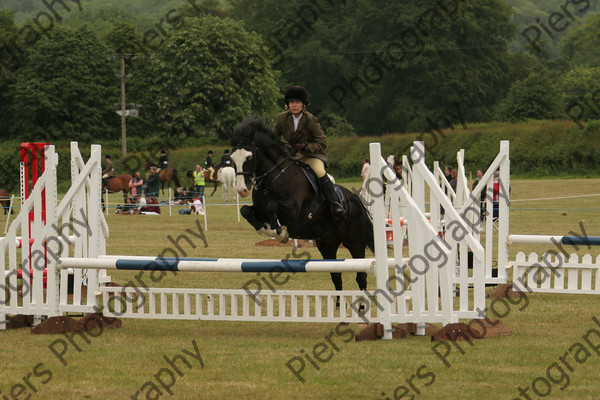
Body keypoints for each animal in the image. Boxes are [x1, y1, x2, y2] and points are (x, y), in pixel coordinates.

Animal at [231, 117, 376, 292]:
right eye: (232, 159)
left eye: (249, 157)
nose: (241, 190)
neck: (273, 177)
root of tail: (355, 198)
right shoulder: (260, 210)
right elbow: (246, 210)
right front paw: (266, 229)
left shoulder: (293, 211)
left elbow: (272, 206)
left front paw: (280, 232)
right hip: (327, 243)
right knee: (336, 277)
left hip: (355, 243)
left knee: (361, 277)